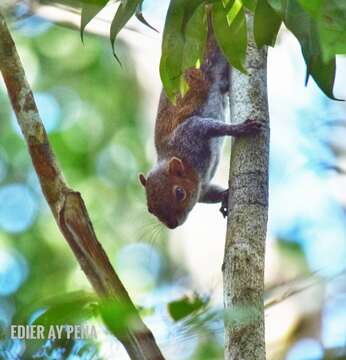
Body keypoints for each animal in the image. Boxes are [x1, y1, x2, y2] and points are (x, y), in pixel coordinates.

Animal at [138, 24, 262, 231]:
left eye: (179, 193)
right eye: (150, 209)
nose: (172, 225)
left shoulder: (190, 132)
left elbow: (209, 126)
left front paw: (241, 129)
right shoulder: (201, 187)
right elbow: (209, 193)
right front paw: (225, 195)